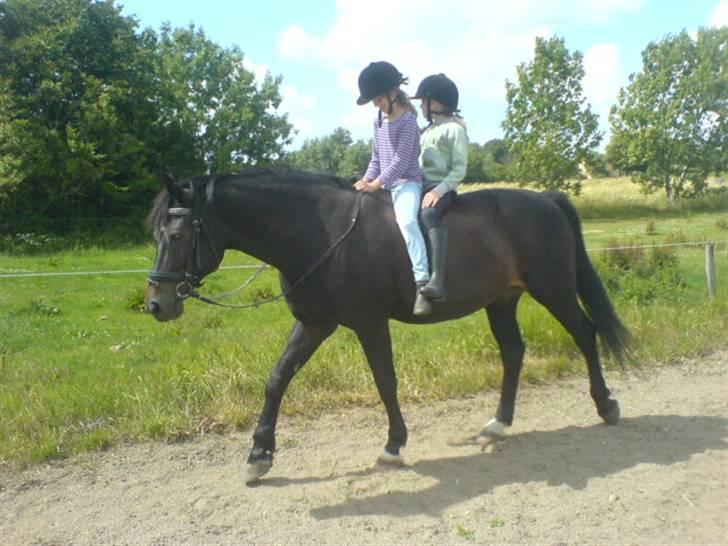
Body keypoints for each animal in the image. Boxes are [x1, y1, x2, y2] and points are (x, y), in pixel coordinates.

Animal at [145, 169, 628, 480]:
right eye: (155, 234)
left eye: (177, 235)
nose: (156, 304)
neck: (322, 234)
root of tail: (545, 198)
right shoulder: (315, 323)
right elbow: (277, 379)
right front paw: (260, 453)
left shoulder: (369, 322)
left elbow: (385, 381)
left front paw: (394, 446)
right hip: (502, 301)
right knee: (513, 352)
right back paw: (498, 424)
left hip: (554, 289)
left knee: (586, 334)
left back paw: (606, 405)